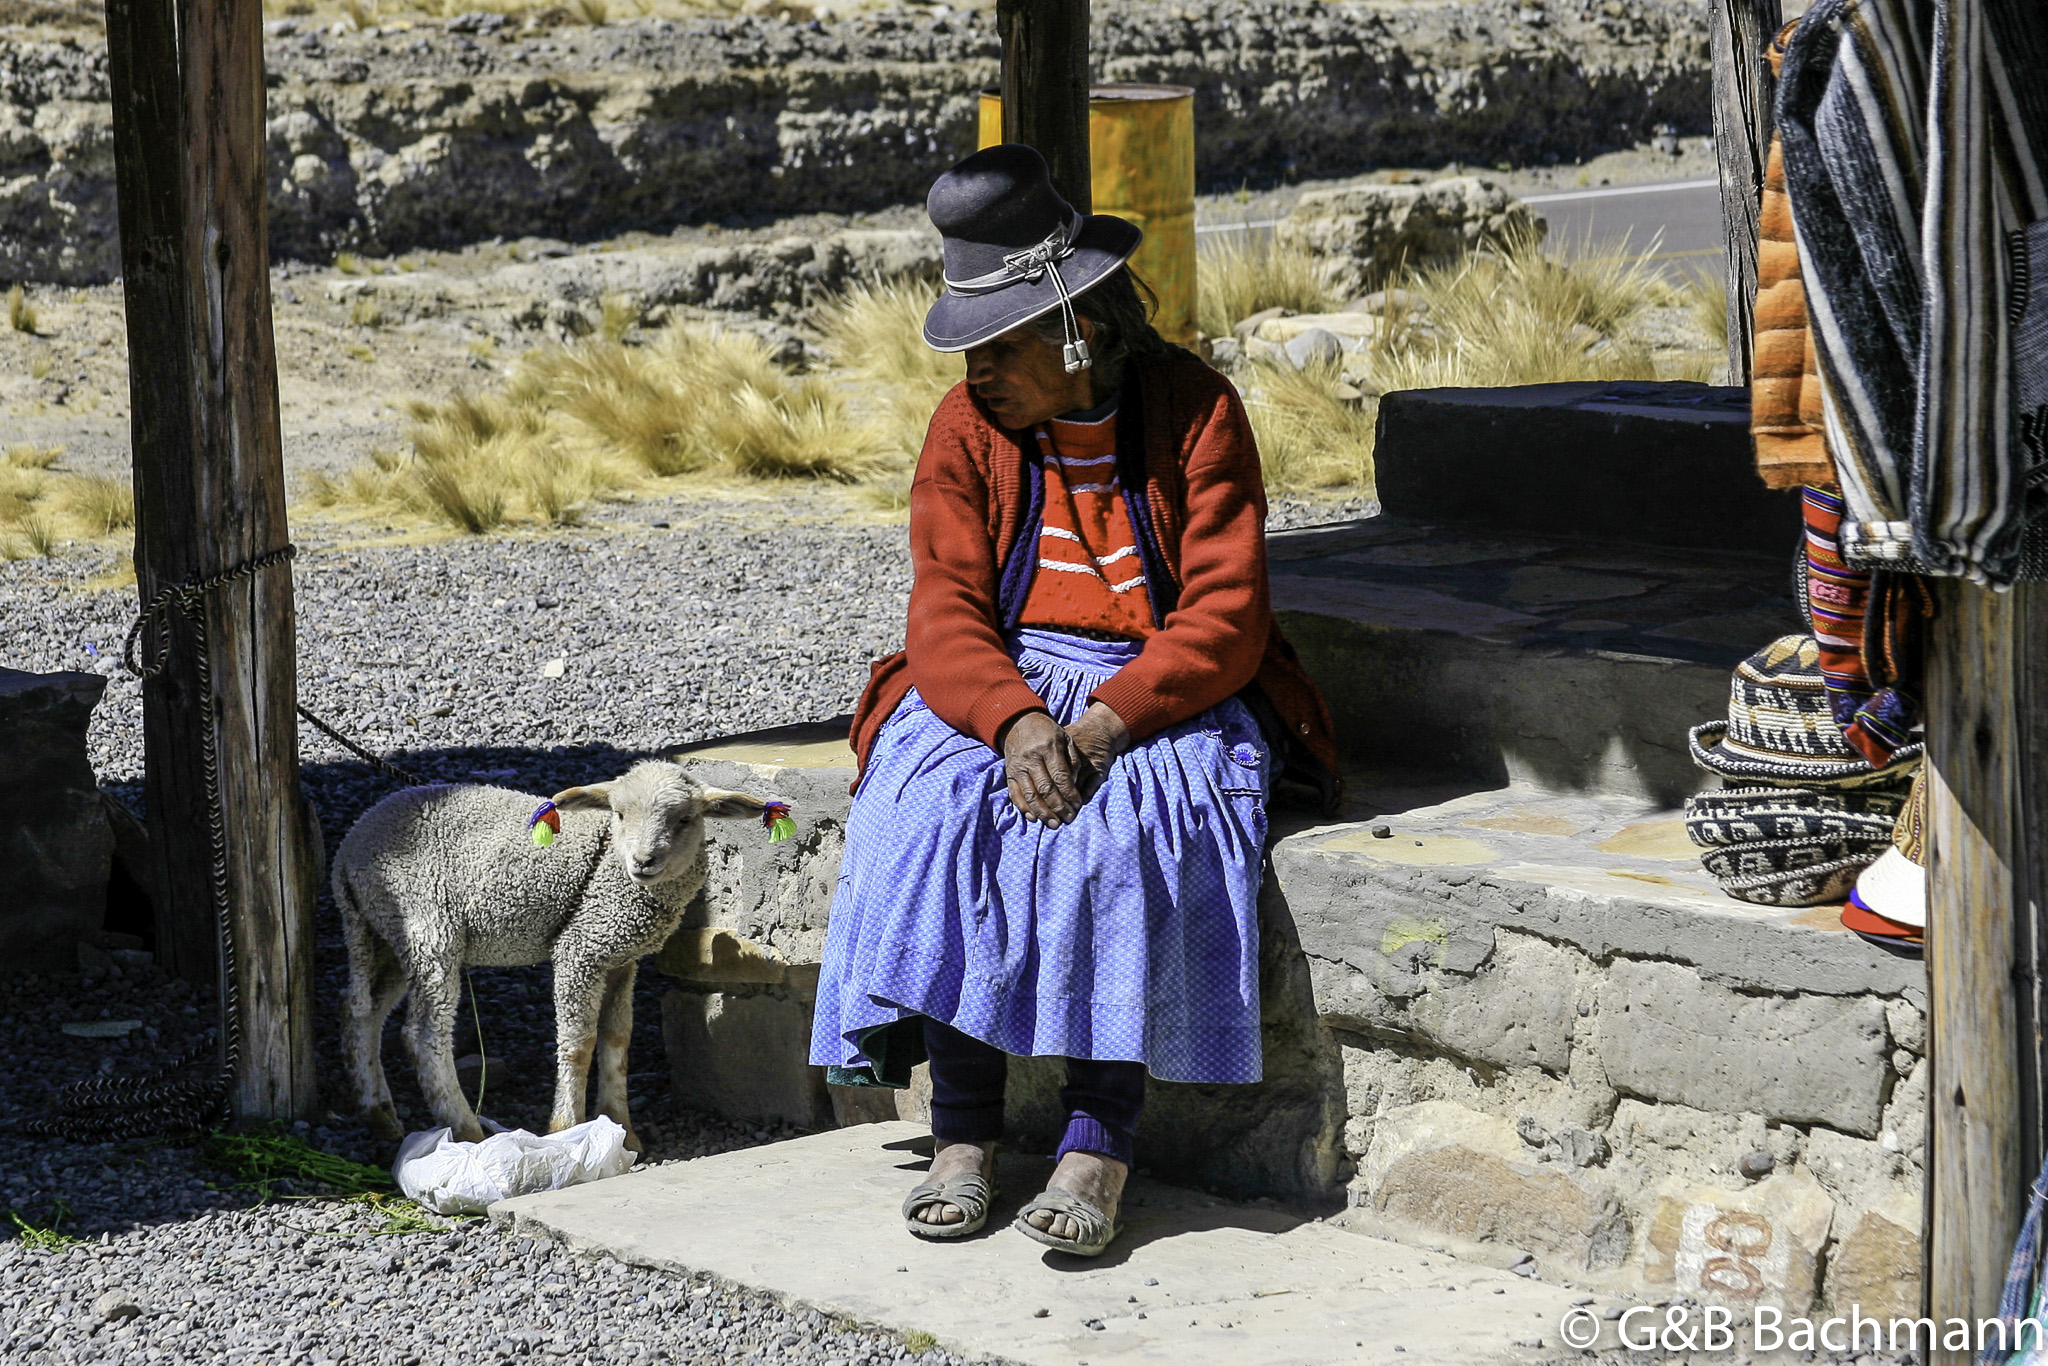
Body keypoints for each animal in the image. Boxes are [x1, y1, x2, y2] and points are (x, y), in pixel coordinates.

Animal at [335, 765, 770, 1146]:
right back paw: (465, 1128)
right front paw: (566, 1127)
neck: (612, 865)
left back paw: (379, 1113)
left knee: (363, 1010)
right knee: (423, 1035)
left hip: (385, 934)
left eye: (685, 819)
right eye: (619, 813)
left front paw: (621, 1128)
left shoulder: (620, 959)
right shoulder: (580, 948)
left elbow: (617, 1040)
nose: (644, 862)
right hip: (426, 926)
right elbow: (579, 1043)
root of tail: (348, 853)